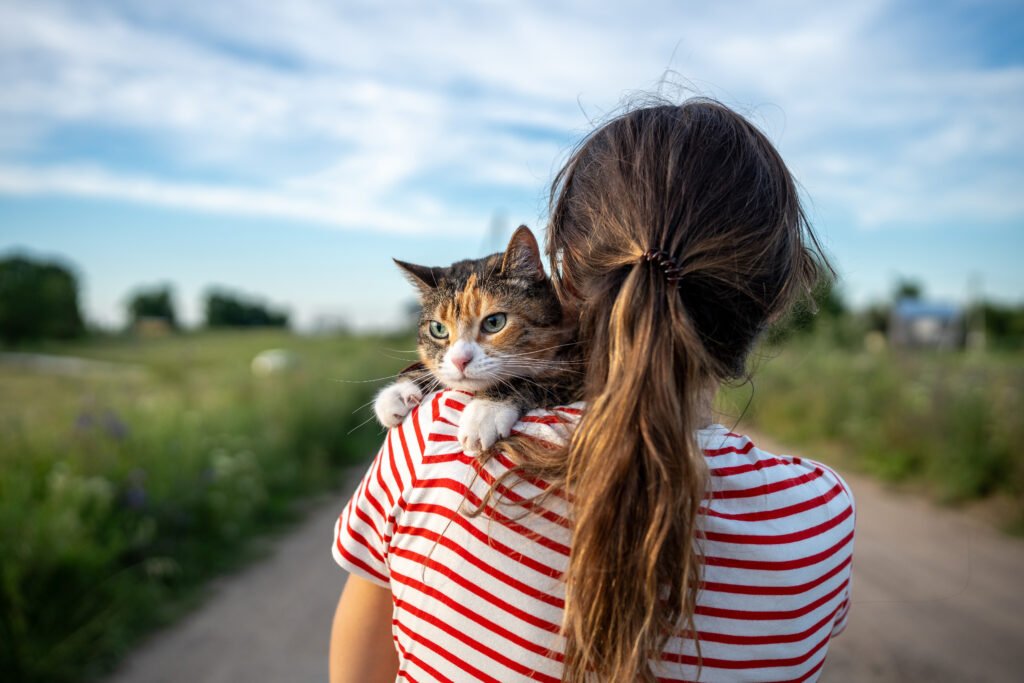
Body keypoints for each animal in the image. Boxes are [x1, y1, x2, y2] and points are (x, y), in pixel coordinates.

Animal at [374, 227, 585, 456]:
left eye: (494, 322)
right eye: (438, 329)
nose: (460, 360)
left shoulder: (578, 367)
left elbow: (529, 380)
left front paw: (484, 412)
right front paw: (399, 392)